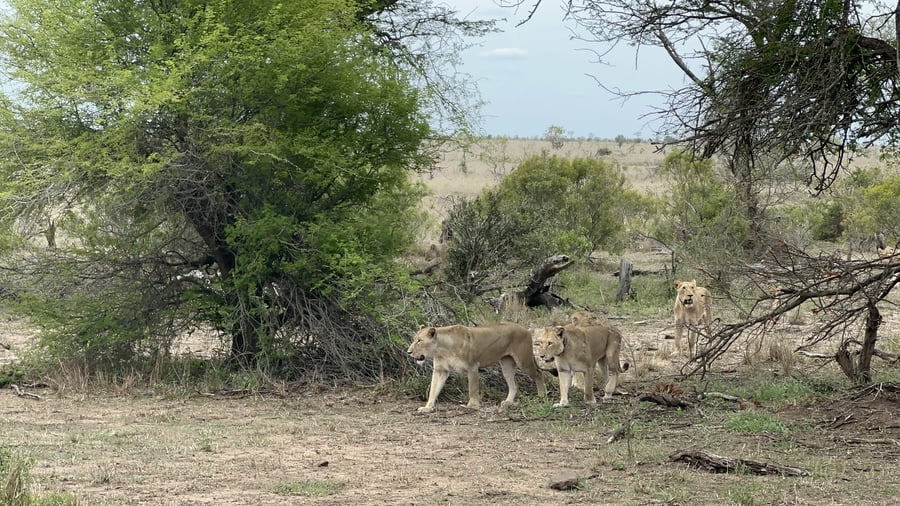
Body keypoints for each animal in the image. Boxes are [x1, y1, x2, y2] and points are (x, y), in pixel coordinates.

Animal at [407, 323, 547, 413]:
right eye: (414, 339)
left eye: (419, 341)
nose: (408, 352)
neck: (442, 349)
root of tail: (525, 329)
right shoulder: (440, 371)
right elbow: (433, 390)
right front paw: (427, 407)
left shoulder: (472, 367)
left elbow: (472, 389)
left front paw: (472, 406)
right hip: (506, 364)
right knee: (514, 385)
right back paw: (508, 402)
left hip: (524, 361)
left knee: (539, 373)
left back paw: (542, 396)